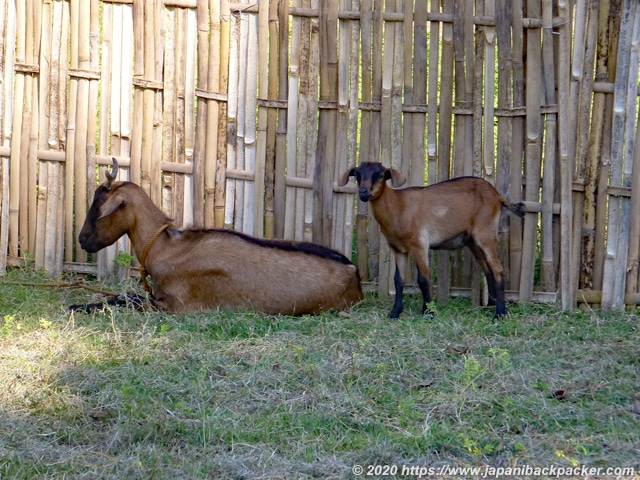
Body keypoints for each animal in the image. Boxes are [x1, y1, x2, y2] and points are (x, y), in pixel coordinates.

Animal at [73, 158, 362, 316]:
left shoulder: (175, 306)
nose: (81, 239)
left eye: (98, 204)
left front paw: (77, 307)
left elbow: (127, 299)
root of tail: (354, 273)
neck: (165, 247)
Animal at [338, 161, 524, 318]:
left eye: (380, 175)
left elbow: (423, 279)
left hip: (485, 234)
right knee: (488, 270)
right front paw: (395, 312)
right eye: (357, 175)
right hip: (473, 242)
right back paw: (490, 307)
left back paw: (500, 313)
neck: (398, 206)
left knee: (498, 269)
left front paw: (428, 311)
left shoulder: (420, 245)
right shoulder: (398, 249)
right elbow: (398, 280)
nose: (363, 192)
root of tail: (498, 196)